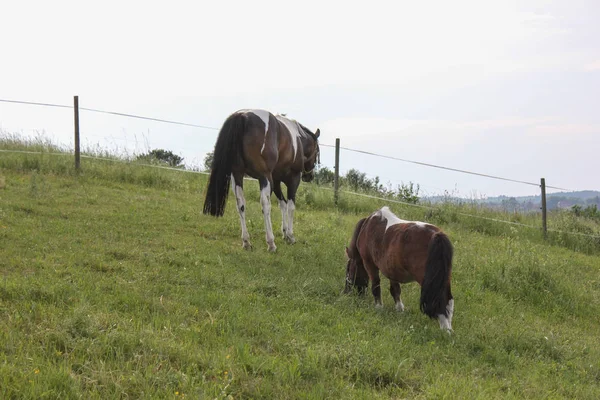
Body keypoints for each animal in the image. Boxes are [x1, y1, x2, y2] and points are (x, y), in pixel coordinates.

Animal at [203, 108, 324, 253]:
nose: (309, 176)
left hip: (238, 176)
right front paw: (290, 235)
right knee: (265, 205)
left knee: (241, 204)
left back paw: (246, 242)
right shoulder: (292, 179)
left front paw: (284, 233)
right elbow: (290, 206)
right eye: (317, 151)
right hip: (264, 177)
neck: (298, 139)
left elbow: (282, 204)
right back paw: (271, 243)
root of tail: (243, 116)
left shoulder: (275, 181)